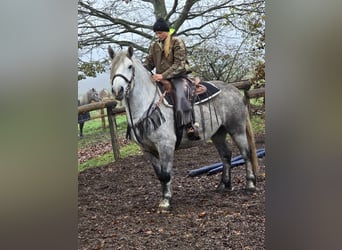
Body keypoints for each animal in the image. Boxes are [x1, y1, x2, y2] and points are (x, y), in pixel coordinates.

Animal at [108, 46, 258, 211]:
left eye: (130, 66)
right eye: (112, 67)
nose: (118, 90)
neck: (147, 105)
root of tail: (235, 90)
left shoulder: (165, 145)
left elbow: (166, 174)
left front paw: (166, 201)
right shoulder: (147, 150)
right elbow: (160, 175)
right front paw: (166, 197)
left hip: (237, 130)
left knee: (245, 153)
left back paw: (250, 184)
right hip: (218, 134)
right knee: (226, 155)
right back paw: (224, 185)